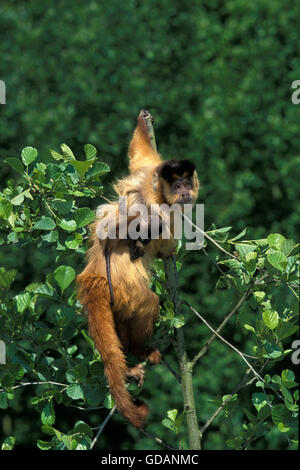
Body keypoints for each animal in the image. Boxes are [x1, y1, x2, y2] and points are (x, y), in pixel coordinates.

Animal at [77, 111, 199, 430]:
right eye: (177, 187)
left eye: (187, 183)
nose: (185, 193)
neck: (159, 192)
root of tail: (95, 274)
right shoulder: (158, 205)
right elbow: (138, 227)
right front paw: (163, 248)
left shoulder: (150, 170)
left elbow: (139, 156)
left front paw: (144, 122)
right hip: (125, 289)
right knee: (147, 301)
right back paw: (138, 349)